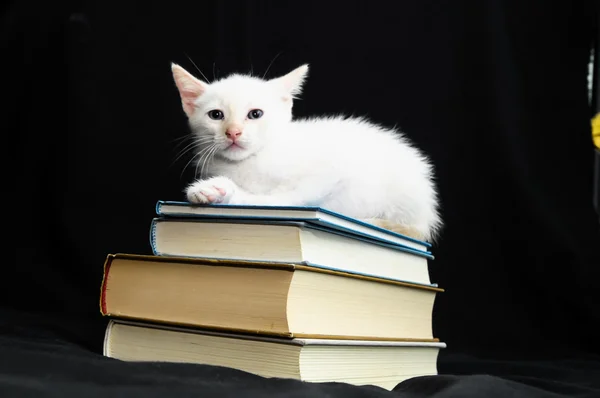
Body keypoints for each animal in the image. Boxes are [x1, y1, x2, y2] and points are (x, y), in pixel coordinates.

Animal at [169, 63, 440, 241]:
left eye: (255, 114)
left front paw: (223, 191)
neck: (248, 164)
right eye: (216, 115)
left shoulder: (329, 173)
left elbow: (283, 199)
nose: (233, 132)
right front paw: (212, 191)